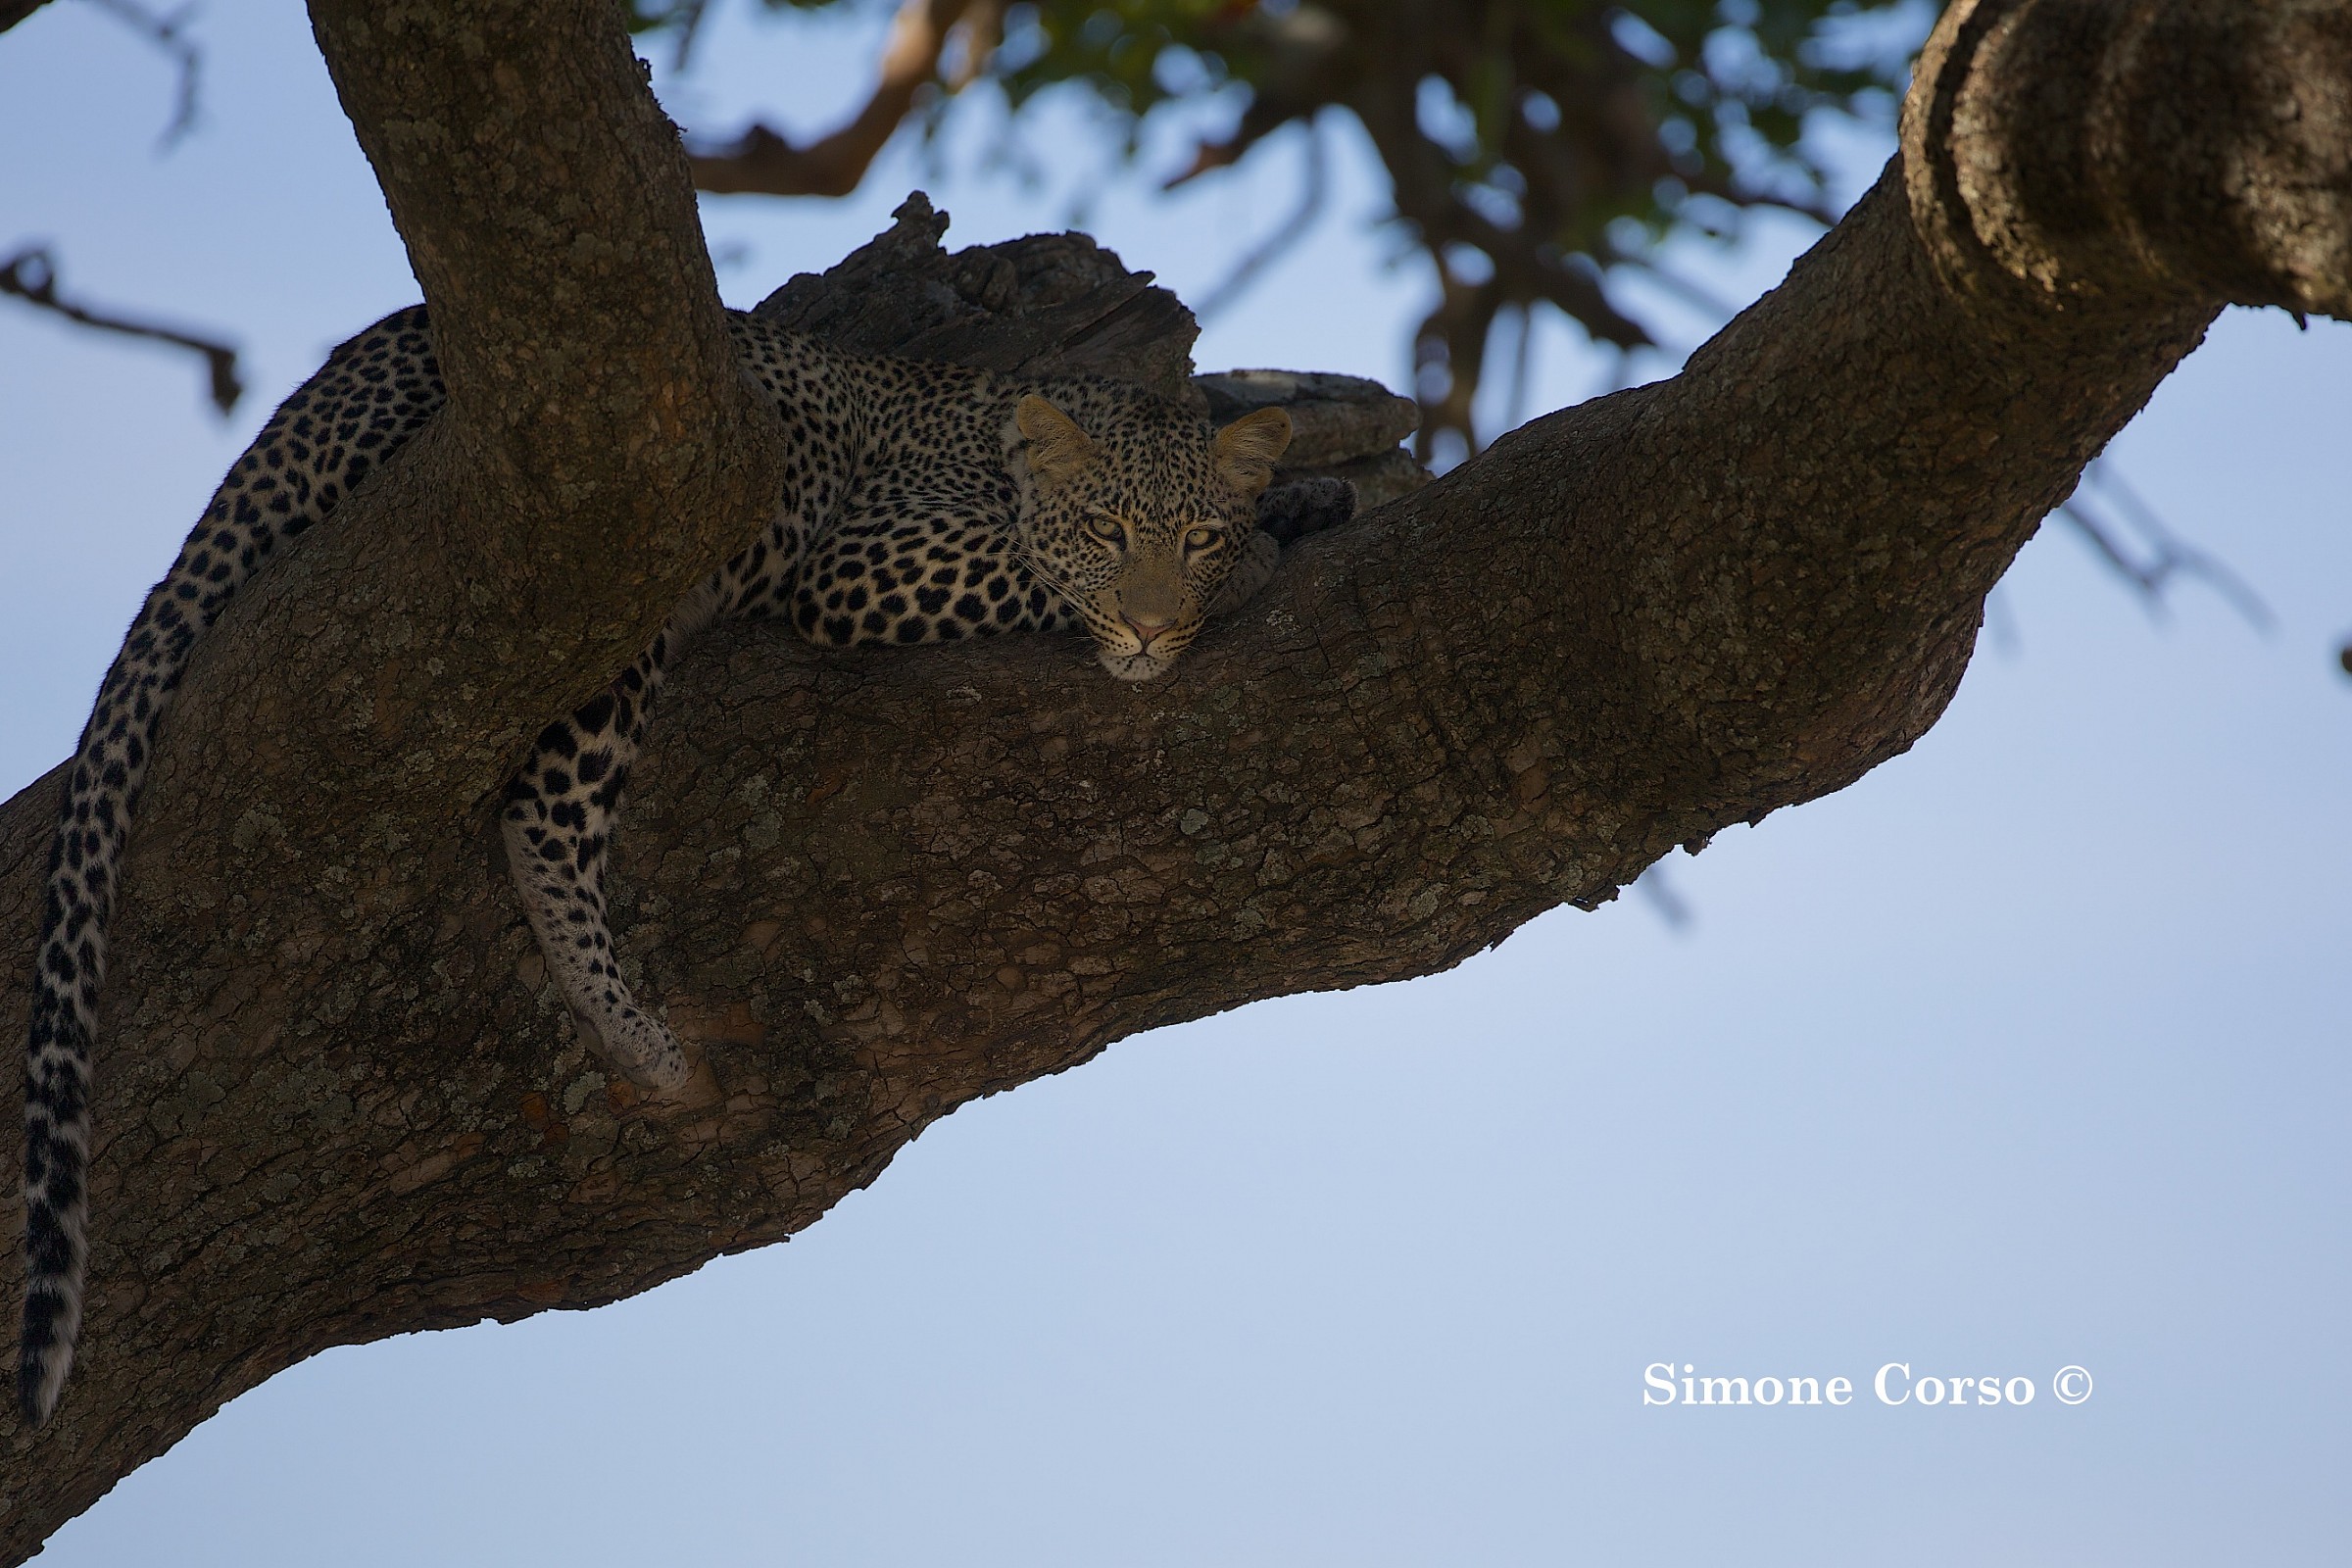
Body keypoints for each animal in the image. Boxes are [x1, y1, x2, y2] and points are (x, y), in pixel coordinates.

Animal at [18, 301, 1354, 1427]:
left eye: (1192, 532)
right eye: (1105, 533)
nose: (1150, 627)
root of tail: (328, 385)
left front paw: (1301, 505)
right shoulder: (870, 560)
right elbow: (1029, 576)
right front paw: (1248, 573)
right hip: (599, 562)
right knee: (539, 813)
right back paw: (636, 1035)